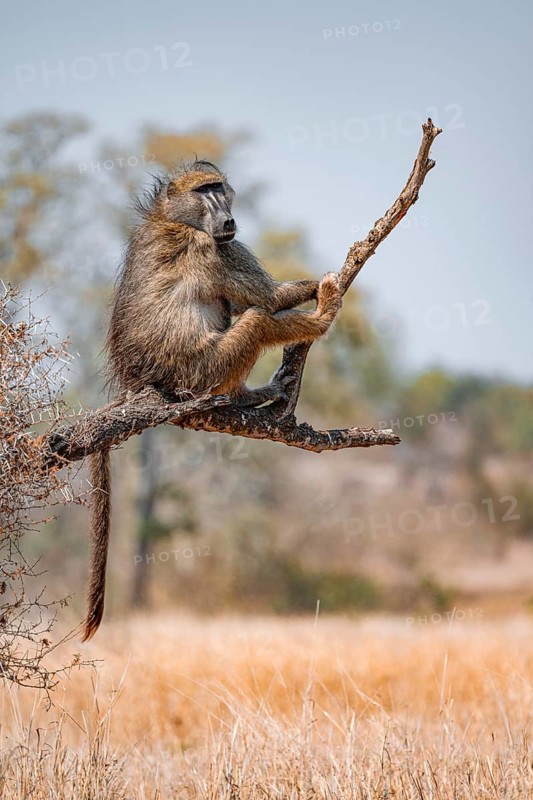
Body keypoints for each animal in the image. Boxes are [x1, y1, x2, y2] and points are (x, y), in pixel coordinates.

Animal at [82, 159, 342, 641]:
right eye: (205, 191)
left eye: (220, 188)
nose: (227, 220)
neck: (172, 217)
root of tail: (144, 383)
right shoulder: (212, 250)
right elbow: (268, 298)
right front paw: (323, 289)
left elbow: (258, 299)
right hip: (203, 372)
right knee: (256, 318)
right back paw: (317, 323)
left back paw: (245, 398)